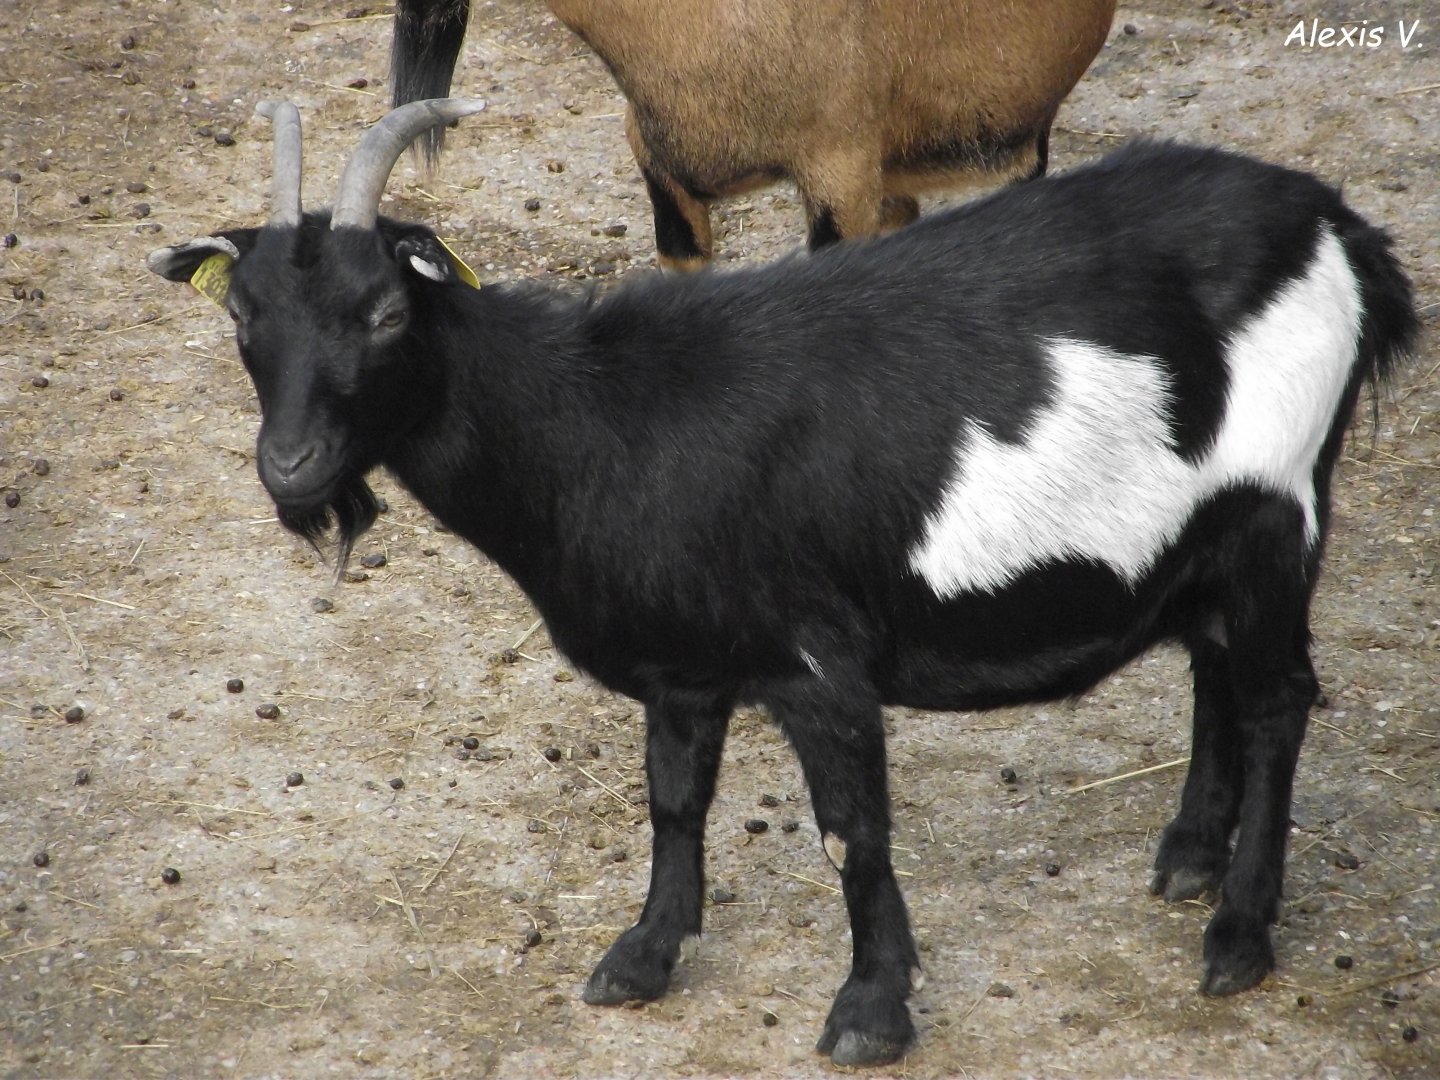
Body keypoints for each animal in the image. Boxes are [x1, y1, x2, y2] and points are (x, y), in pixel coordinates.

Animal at [147, 100, 1415, 1066]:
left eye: (387, 309)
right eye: (243, 315)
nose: (291, 466)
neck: (597, 425)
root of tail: (1336, 223)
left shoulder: (817, 665)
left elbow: (851, 833)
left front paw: (869, 1012)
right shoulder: (687, 668)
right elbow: (673, 800)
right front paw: (640, 957)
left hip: (1279, 506)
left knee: (1277, 701)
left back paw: (1239, 934)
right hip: (1203, 531)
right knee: (1213, 659)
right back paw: (1190, 855)